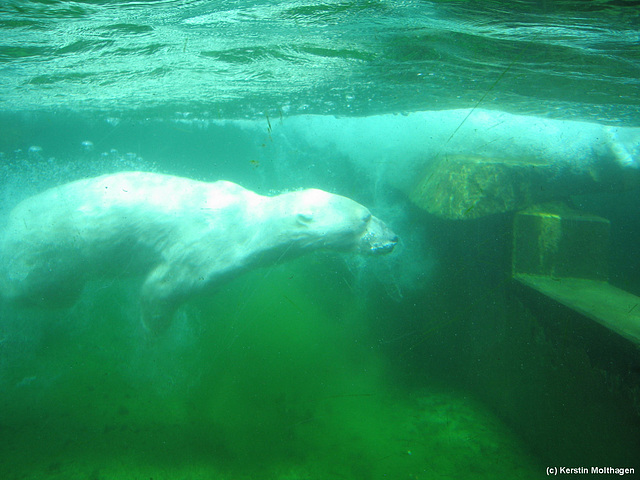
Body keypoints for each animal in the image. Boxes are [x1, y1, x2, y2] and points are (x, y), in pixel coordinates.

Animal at [0, 172, 398, 334]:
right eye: (365, 217)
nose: (393, 237)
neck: (253, 218)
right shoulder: (215, 246)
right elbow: (165, 284)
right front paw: (153, 327)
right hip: (45, 251)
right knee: (34, 286)